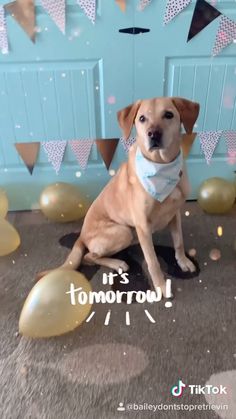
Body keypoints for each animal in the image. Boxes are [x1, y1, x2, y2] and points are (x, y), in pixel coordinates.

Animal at [38, 97, 199, 298]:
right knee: (89, 257)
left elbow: (179, 242)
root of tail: (81, 235)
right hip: (123, 231)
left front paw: (183, 261)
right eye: (142, 118)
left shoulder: (175, 214)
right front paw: (161, 286)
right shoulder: (142, 225)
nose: (153, 134)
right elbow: (153, 261)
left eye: (168, 115)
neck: (161, 165)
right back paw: (117, 263)